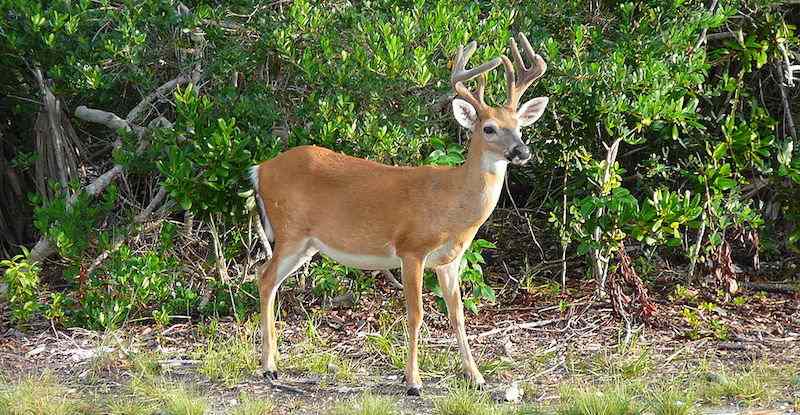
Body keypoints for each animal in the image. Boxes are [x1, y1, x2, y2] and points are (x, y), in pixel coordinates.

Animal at [250, 33, 548, 396]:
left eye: (519, 126)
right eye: (489, 128)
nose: (522, 151)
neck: (452, 203)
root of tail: (260, 169)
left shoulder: (450, 260)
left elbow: (457, 314)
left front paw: (476, 377)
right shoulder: (412, 248)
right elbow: (416, 314)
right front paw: (413, 382)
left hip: (306, 244)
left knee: (267, 279)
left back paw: (273, 363)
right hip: (290, 230)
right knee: (264, 277)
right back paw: (269, 368)